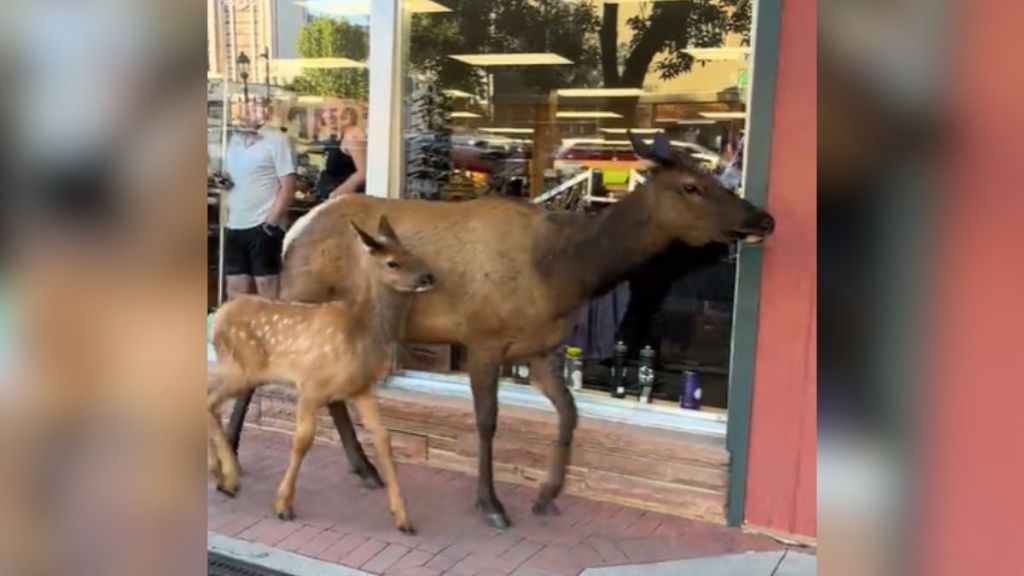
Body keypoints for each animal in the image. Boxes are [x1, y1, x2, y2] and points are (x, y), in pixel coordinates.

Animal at [207, 216, 432, 532]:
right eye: (392, 262)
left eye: (410, 253)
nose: (428, 277)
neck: (361, 330)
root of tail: (217, 316)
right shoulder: (312, 384)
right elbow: (303, 440)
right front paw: (283, 505)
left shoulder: (361, 388)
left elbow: (383, 439)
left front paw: (403, 517)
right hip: (242, 369)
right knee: (209, 403)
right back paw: (229, 478)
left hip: (233, 369)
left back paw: (220, 473)